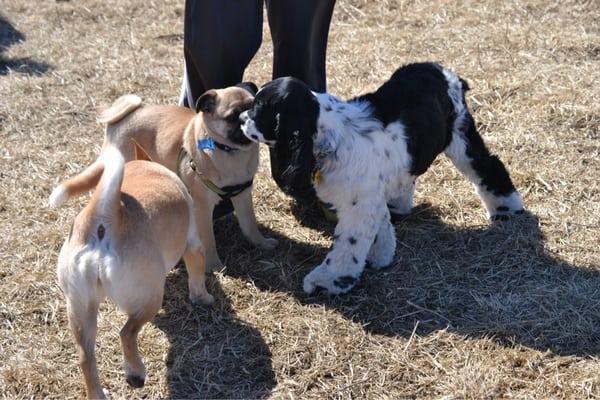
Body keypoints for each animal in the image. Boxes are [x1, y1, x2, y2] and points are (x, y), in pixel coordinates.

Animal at [241, 61, 524, 294]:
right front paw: (382, 256)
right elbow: (381, 227)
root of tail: (444, 72)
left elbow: (348, 246)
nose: (241, 118)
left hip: (461, 138)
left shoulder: (358, 205)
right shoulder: (369, 197)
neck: (329, 135)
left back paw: (507, 209)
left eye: (259, 108)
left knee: (488, 166)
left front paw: (328, 281)